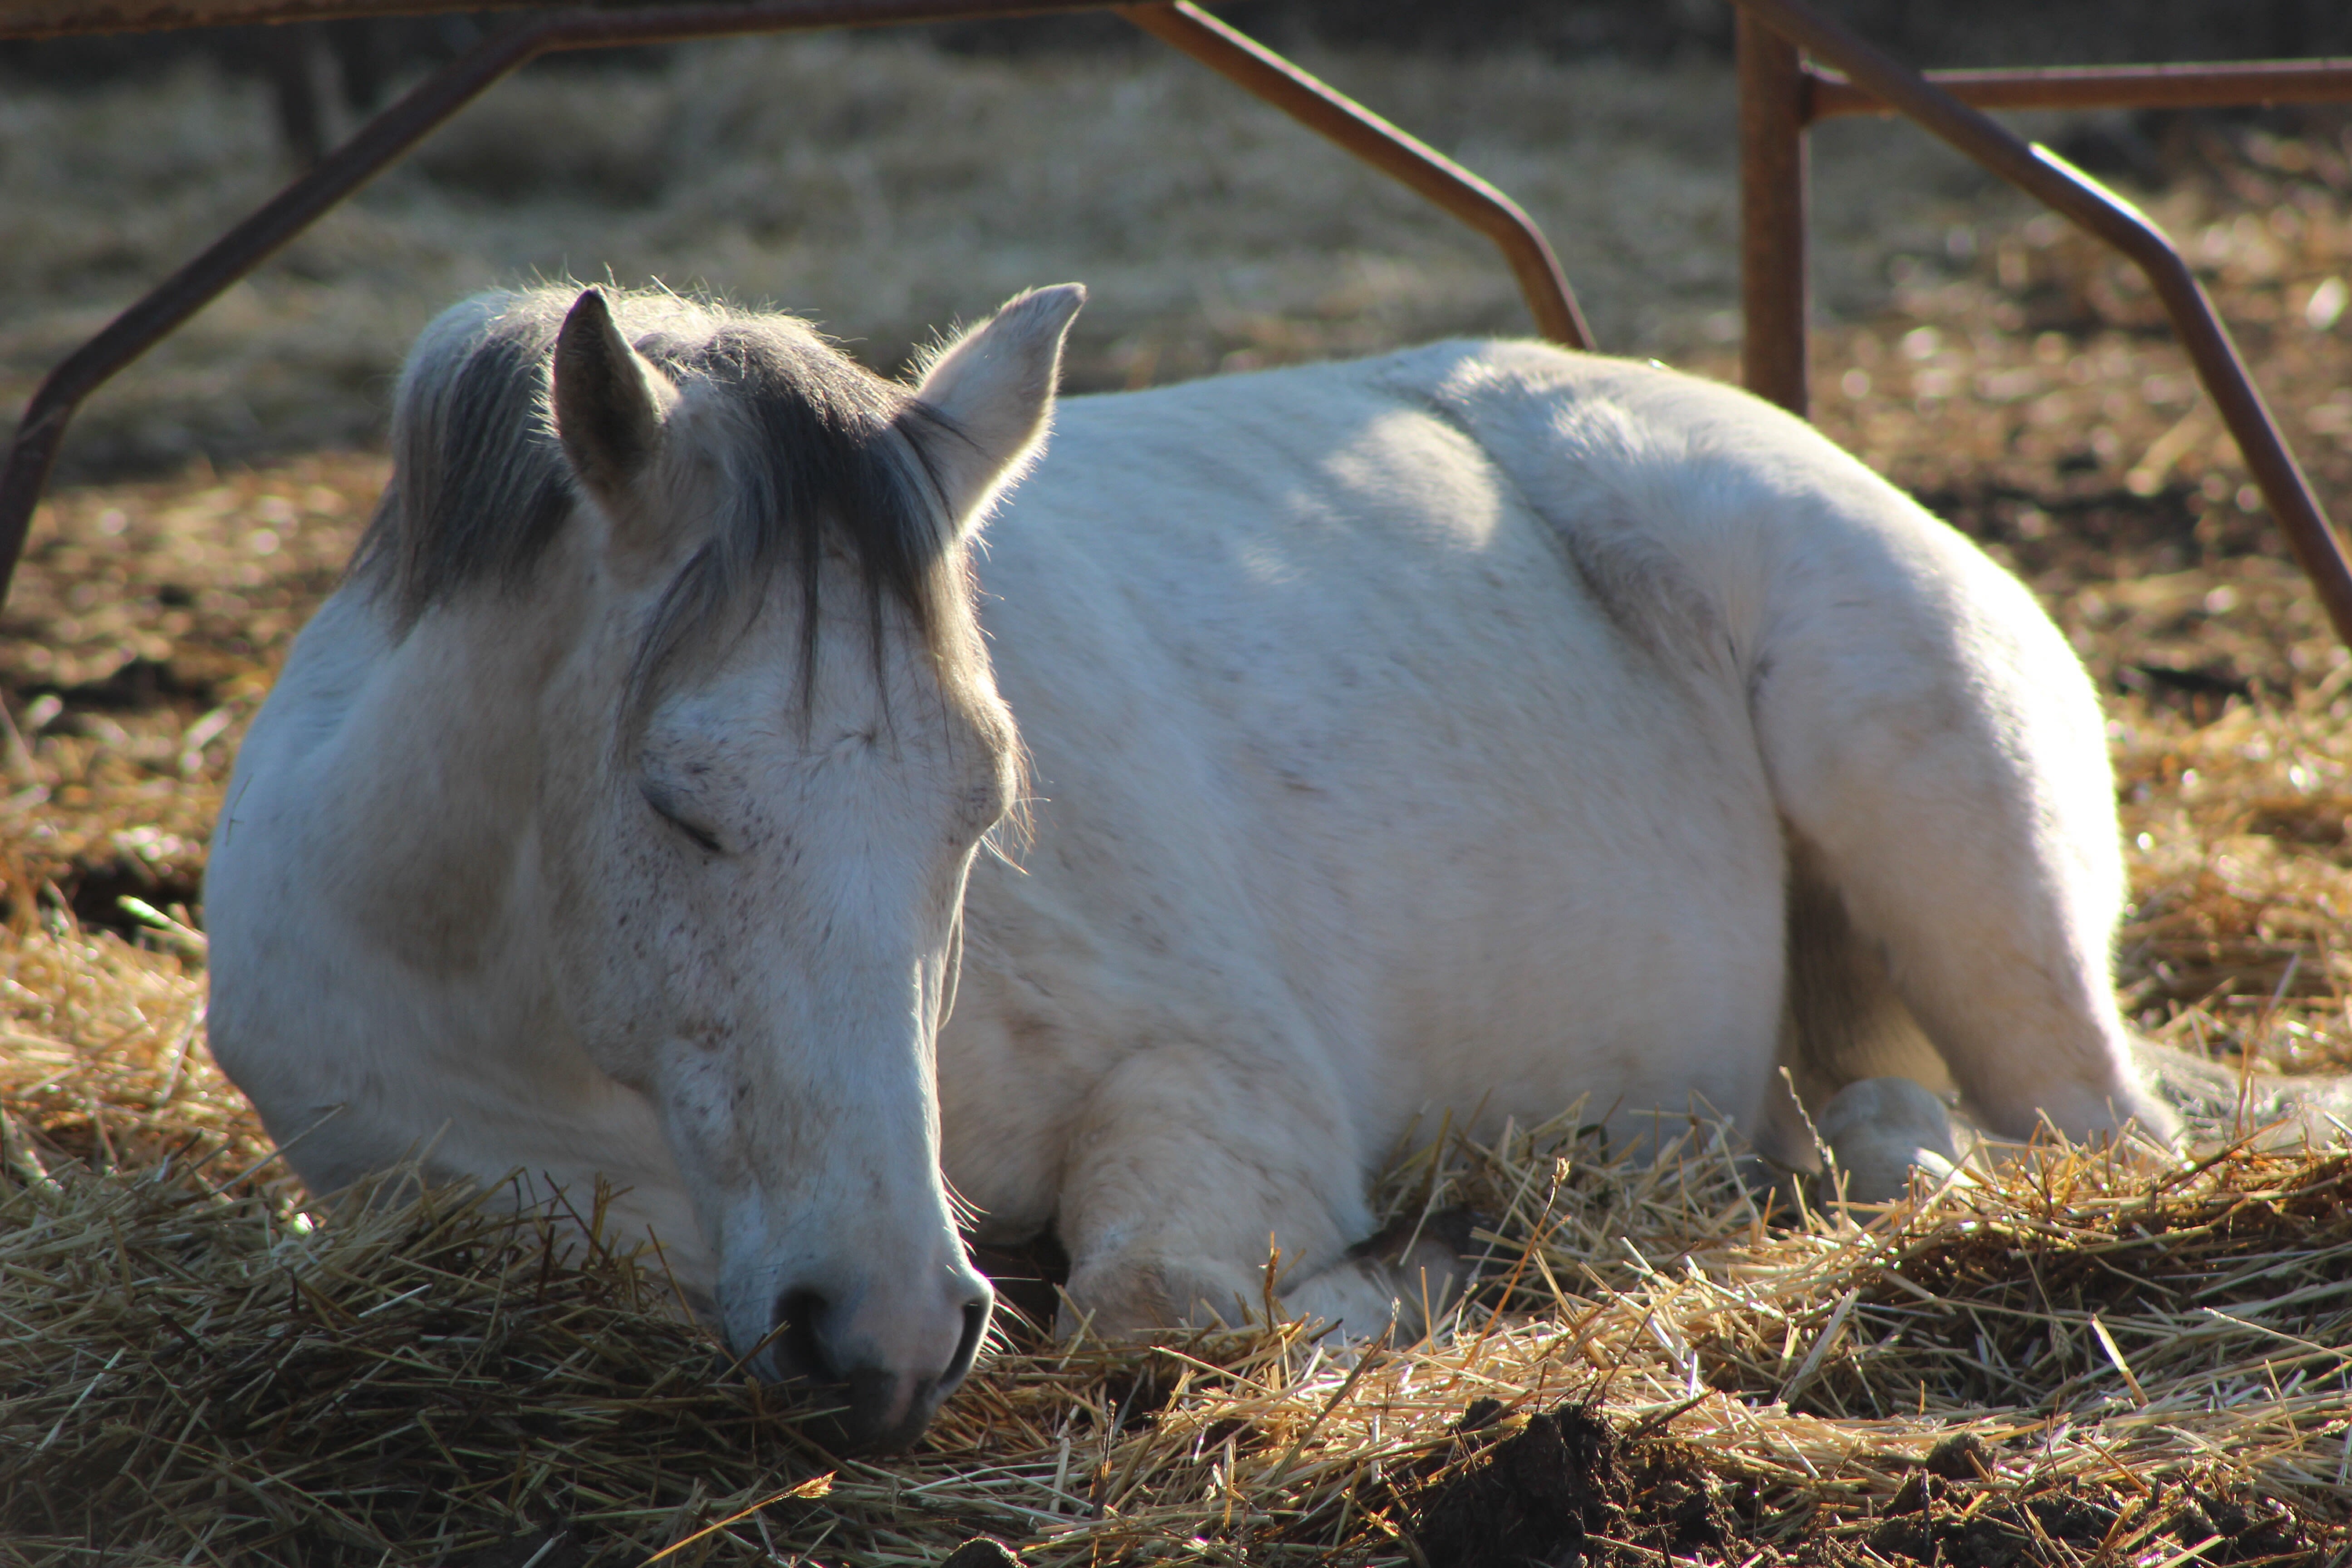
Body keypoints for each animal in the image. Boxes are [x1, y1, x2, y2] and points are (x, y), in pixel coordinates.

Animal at [211, 282, 2173, 1448]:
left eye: (982, 808)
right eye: (677, 803)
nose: (889, 1324)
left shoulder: (1218, 1082)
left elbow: (1156, 1305)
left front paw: (1419, 1270)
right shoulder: (437, 1174)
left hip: (1963, 867)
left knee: (2088, 1130)